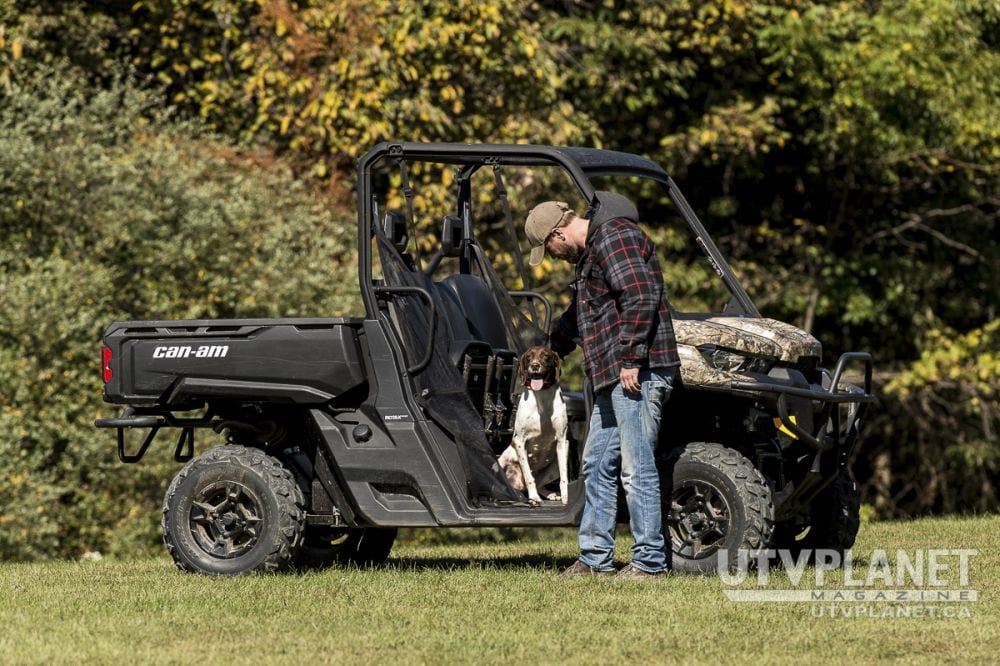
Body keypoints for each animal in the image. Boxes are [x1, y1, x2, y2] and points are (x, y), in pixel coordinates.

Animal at [500, 348, 572, 504]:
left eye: (546, 355)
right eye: (529, 356)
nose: (534, 365)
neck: (542, 397)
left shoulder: (562, 440)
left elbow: (564, 477)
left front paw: (566, 497)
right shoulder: (520, 441)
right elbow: (529, 477)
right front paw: (534, 497)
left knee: (540, 483)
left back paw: (551, 494)